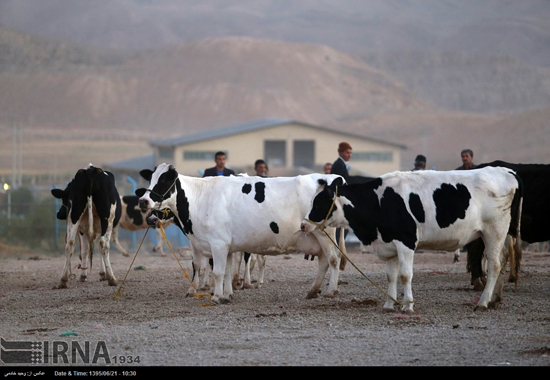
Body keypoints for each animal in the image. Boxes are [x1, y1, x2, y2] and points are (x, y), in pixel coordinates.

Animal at [136, 163, 348, 302]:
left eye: (164, 180)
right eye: (151, 178)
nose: (143, 201)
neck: (200, 198)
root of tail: (332, 178)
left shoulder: (218, 243)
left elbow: (218, 271)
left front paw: (217, 296)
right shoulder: (219, 244)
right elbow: (225, 270)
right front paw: (227, 294)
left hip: (325, 234)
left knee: (333, 259)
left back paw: (331, 290)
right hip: (315, 236)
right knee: (323, 261)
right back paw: (313, 290)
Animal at [304, 166, 524, 312]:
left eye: (320, 202)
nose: (303, 225)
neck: (380, 201)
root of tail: (507, 171)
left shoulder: (406, 241)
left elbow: (405, 275)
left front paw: (408, 305)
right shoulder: (389, 245)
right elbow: (390, 276)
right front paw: (389, 304)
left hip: (494, 231)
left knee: (494, 264)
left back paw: (483, 302)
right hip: (498, 235)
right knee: (503, 259)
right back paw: (495, 299)